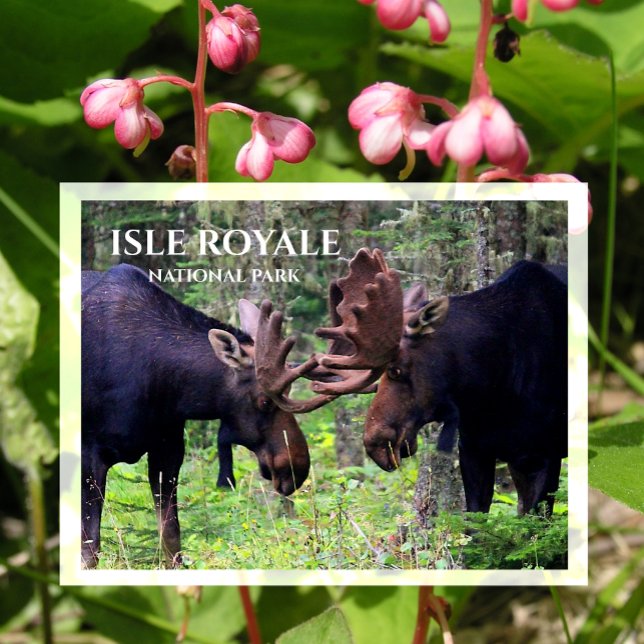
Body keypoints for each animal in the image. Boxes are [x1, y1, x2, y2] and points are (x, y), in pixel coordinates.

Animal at [81, 263, 310, 568]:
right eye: (264, 400)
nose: (297, 468)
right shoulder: (90, 454)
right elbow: (90, 549)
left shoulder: (168, 449)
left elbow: (171, 539)